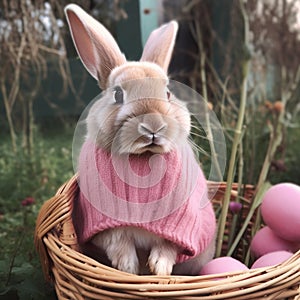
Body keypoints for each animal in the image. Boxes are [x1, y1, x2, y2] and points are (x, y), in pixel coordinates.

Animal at [65, 4, 216, 276]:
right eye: (117, 94)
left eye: (168, 93)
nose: (153, 126)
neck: (142, 157)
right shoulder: (105, 222)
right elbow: (118, 240)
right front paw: (128, 268)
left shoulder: (177, 226)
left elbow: (168, 244)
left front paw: (159, 269)